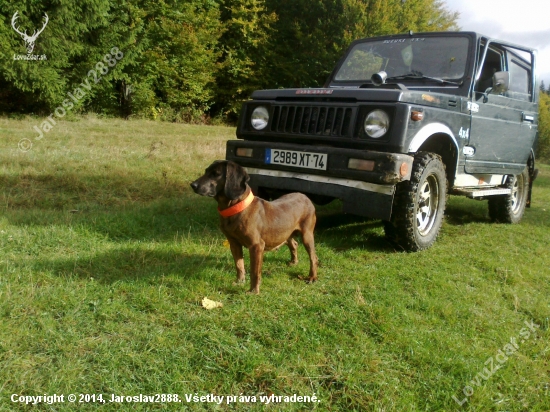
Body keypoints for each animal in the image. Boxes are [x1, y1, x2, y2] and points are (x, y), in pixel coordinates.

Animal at [192, 160, 320, 292]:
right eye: (206, 171)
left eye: (216, 174)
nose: (193, 185)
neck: (236, 208)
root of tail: (306, 197)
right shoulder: (234, 243)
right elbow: (239, 265)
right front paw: (240, 281)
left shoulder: (256, 246)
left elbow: (254, 271)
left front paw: (253, 291)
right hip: (285, 233)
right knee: (294, 244)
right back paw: (294, 262)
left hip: (307, 235)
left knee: (314, 258)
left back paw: (312, 277)